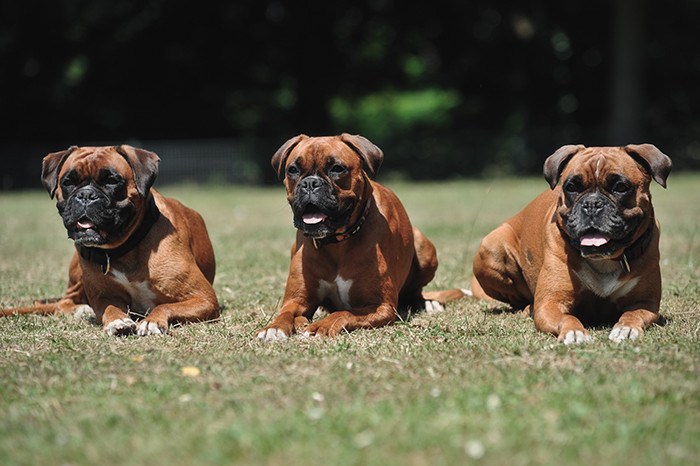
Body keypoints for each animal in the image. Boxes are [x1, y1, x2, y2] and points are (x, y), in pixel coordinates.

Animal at [0, 146, 219, 334]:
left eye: (112, 181)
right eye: (68, 181)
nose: (86, 195)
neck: (126, 248)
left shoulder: (204, 298)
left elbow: (165, 306)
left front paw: (152, 321)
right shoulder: (103, 297)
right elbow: (110, 309)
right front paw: (118, 321)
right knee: (63, 302)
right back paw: (80, 309)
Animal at [254, 133, 462, 340]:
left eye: (337, 168)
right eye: (293, 170)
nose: (310, 183)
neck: (336, 243)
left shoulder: (381, 306)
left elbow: (343, 312)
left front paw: (321, 326)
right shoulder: (296, 300)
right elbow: (285, 313)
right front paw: (273, 328)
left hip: (424, 247)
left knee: (414, 291)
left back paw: (427, 303)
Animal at [474, 144, 668, 344]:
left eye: (620, 187)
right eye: (572, 187)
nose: (592, 203)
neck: (604, 261)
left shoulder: (646, 303)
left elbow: (633, 314)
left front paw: (626, 328)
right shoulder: (551, 303)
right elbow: (567, 318)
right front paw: (574, 332)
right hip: (492, 248)